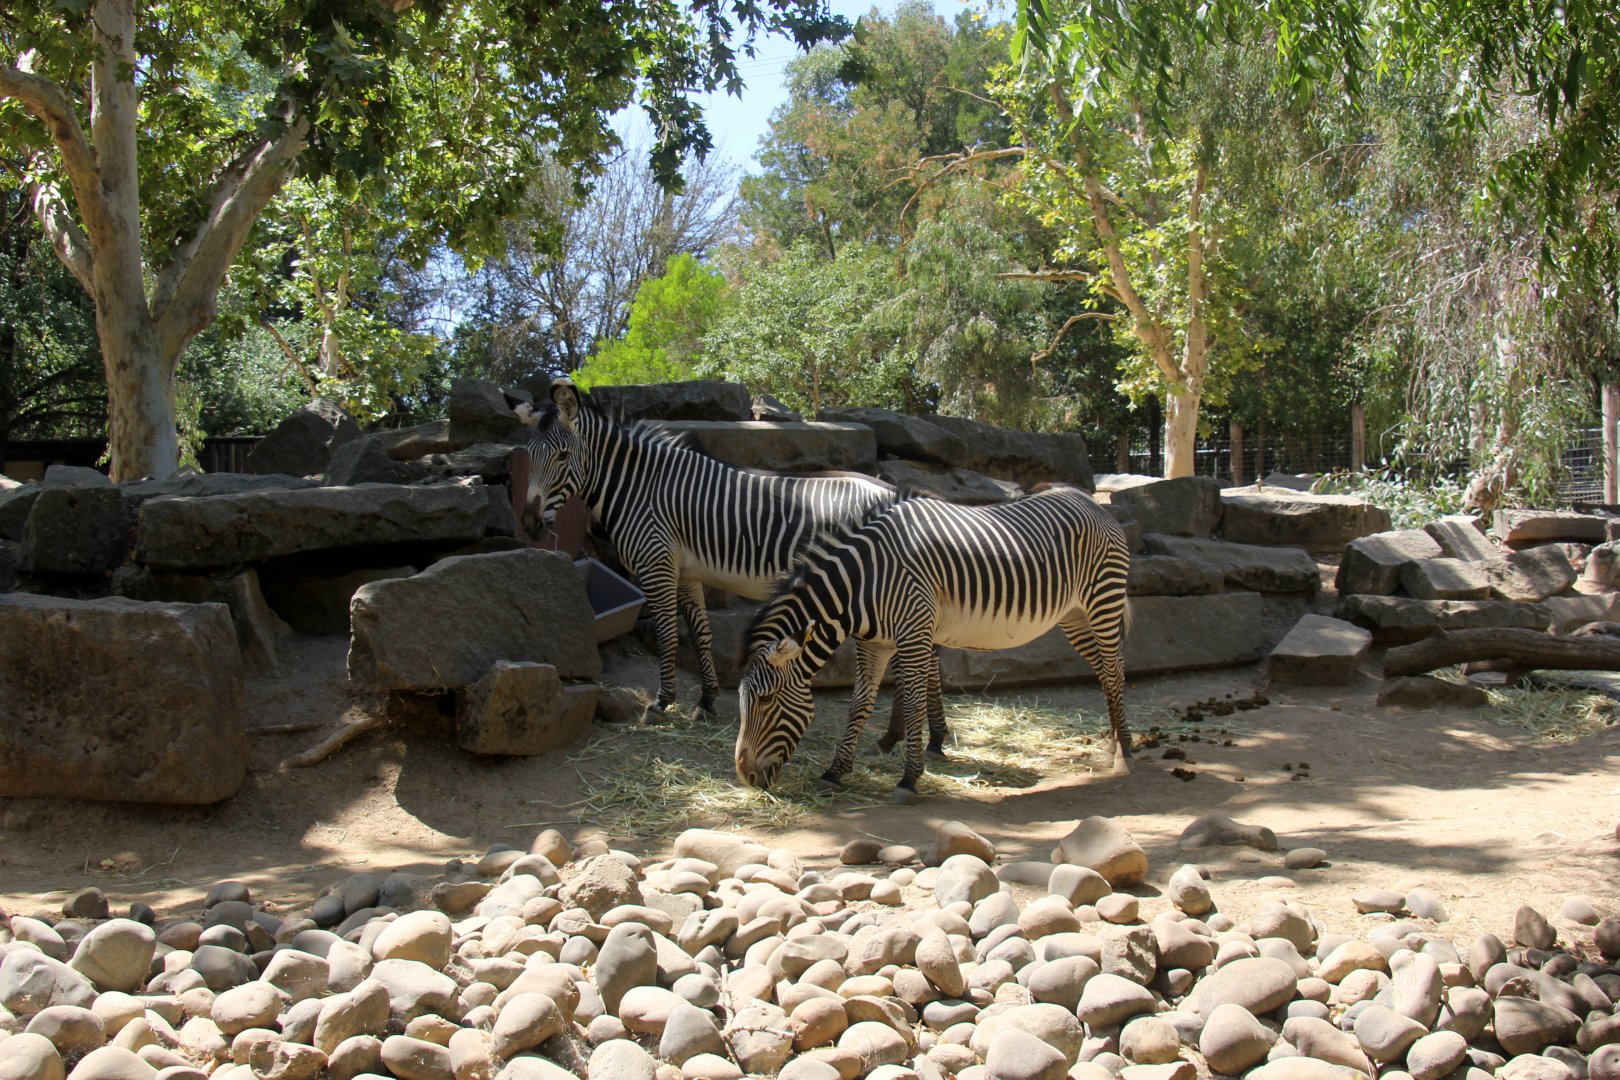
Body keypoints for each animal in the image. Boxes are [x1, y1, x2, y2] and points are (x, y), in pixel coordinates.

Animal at [514, 379, 951, 743]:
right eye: (528, 457)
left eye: (563, 456)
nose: (530, 525)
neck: (640, 487)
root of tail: (897, 493)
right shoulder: (686, 571)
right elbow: (700, 634)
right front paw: (706, 701)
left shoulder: (656, 562)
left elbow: (667, 634)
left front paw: (661, 702)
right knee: (925, 655)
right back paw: (919, 737)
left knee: (920, 657)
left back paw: (911, 737)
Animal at [734, 484, 1132, 802]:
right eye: (743, 700)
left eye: (765, 700)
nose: (746, 777)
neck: (862, 582)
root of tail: (1089, 500)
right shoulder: (874, 644)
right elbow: (860, 704)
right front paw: (836, 771)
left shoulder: (913, 632)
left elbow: (913, 704)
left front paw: (909, 779)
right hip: (1075, 616)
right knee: (1103, 671)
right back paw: (1111, 743)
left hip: (1103, 601)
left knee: (1115, 670)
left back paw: (1124, 751)